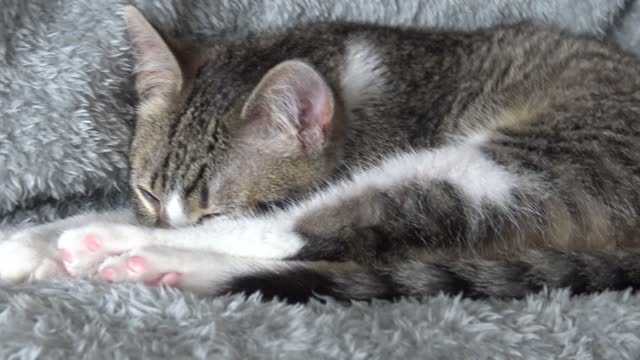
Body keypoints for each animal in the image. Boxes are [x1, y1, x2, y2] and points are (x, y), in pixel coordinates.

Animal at [1, 5, 640, 302]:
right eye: (147, 193)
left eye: (216, 209)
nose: (159, 222)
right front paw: (29, 245)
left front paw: (86, 239)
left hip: (515, 160)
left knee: (313, 231)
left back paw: (138, 255)